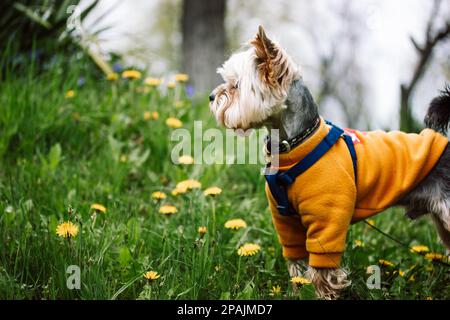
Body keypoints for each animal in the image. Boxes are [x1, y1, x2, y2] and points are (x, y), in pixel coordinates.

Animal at [210, 26, 450, 298]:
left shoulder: (327, 219)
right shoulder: (285, 221)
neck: (294, 147)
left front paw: (321, 293)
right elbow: (296, 261)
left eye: (236, 86)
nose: (211, 97)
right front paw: (297, 290)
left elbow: (321, 268)